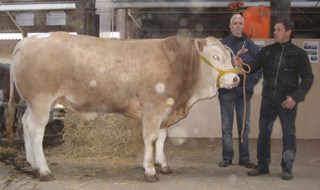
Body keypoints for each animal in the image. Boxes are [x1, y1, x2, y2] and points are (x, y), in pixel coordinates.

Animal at [5, 31, 240, 182]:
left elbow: (162, 139)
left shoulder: (165, 110)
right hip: (41, 100)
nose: (236, 78)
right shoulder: (154, 107)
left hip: (34, 102)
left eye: (230, 56)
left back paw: (32, 164)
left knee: (26, 124)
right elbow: (151, 139)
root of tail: (28, 40)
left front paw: (163, 165)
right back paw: (44, 171)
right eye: (215, 56)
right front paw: (150, 170)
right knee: (37, 130)